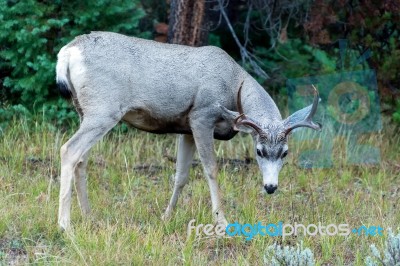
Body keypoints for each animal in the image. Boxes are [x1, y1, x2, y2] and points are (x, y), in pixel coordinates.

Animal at [55, 31, 322, 231]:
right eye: (258, 151)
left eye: (285, 152)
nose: (270, 187)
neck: (232, 83)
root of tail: (68, 52)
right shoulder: (201, 116)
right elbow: (211, 169)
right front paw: (222, 221)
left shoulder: (186, 128)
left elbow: (181, 175)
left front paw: (166, 216)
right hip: (104, 110)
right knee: (69, 150)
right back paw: (65, 225)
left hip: (85, 110)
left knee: (81, 160)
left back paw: (89, 216)